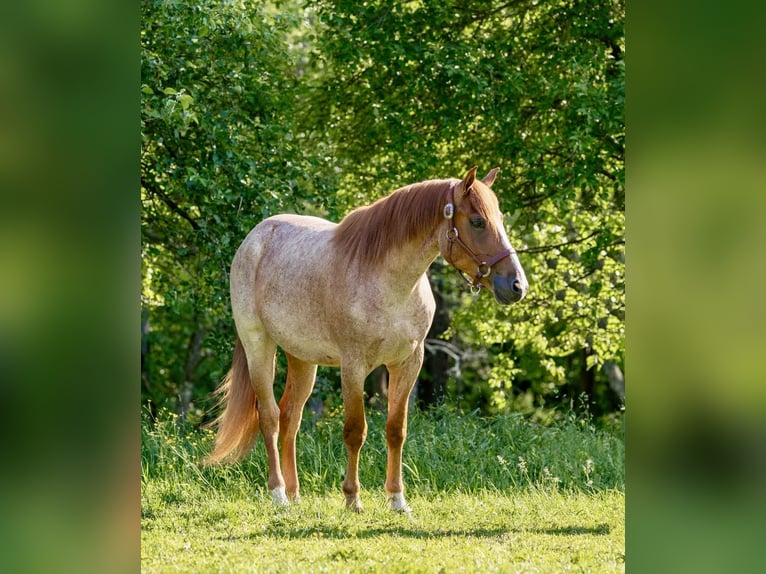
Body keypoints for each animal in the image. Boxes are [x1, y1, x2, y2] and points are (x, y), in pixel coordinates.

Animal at [202, 166, 528, 513]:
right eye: (478, 221)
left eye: (500, 218)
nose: (517, 285)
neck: (391, 284)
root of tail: (254, 238)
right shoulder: (354, 367)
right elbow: (355, 431)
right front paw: (352, 498)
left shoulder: (408, 363)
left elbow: (396, 430)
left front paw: (397, 499)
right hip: (259, 346)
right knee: (270, 417)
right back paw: (279, 495)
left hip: (302, 358)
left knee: (291, 417)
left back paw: (295, 493)